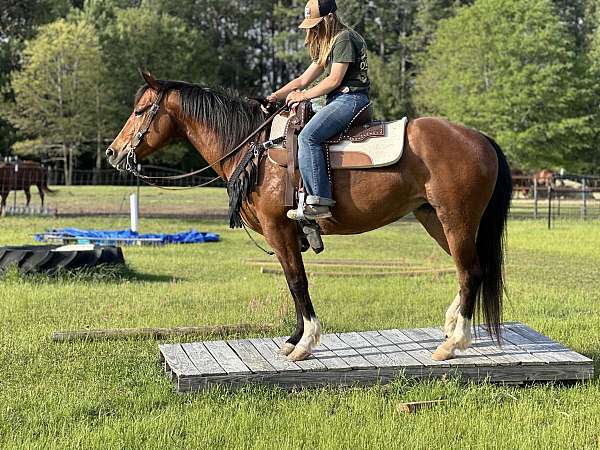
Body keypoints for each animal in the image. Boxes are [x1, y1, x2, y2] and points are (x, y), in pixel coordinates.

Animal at [106, 72, 510, 364]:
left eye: (140, 111)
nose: (112, 152)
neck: (255, 148)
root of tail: (481, 138)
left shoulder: (279, 228)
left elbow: (297, 282)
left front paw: (305, 344)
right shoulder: (284, 233)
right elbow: (291, 283)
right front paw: (294, 338)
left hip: (456, 220)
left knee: (471, 272)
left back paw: (453, 343)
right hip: (434, 220)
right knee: (469, 270)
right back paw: (451, 326)